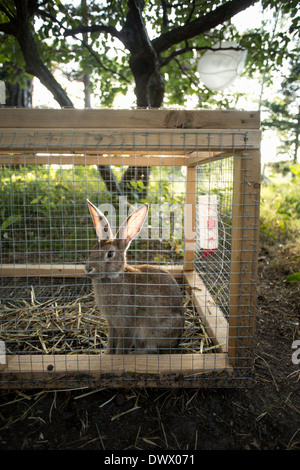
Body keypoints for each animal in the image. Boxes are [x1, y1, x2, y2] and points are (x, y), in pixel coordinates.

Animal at [84, 197, 183, 352]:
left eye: (110, 254)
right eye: (92, 250)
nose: (89, 269)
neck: (113, 278)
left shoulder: (127, 326)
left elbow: (121, 348)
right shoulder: (111, 323)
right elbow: (110, 342)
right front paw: (106, 354)